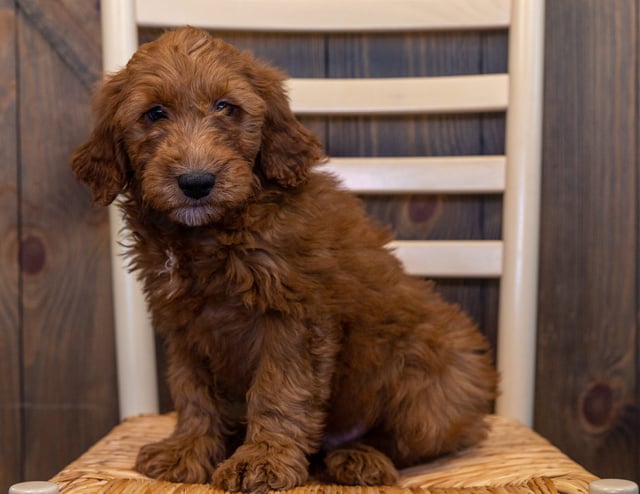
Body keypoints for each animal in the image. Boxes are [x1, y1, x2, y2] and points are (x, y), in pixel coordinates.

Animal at [71, 27, 500, 494]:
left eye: (227, 107)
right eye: (154, 114)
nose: (197, 182)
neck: (213, 233)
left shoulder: (294, 315)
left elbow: (279, 391)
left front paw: (263, 459)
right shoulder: (184, 321)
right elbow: (192, 391)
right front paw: (188, 448)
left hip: (438, 380)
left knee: (404, 440)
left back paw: (359, 457)